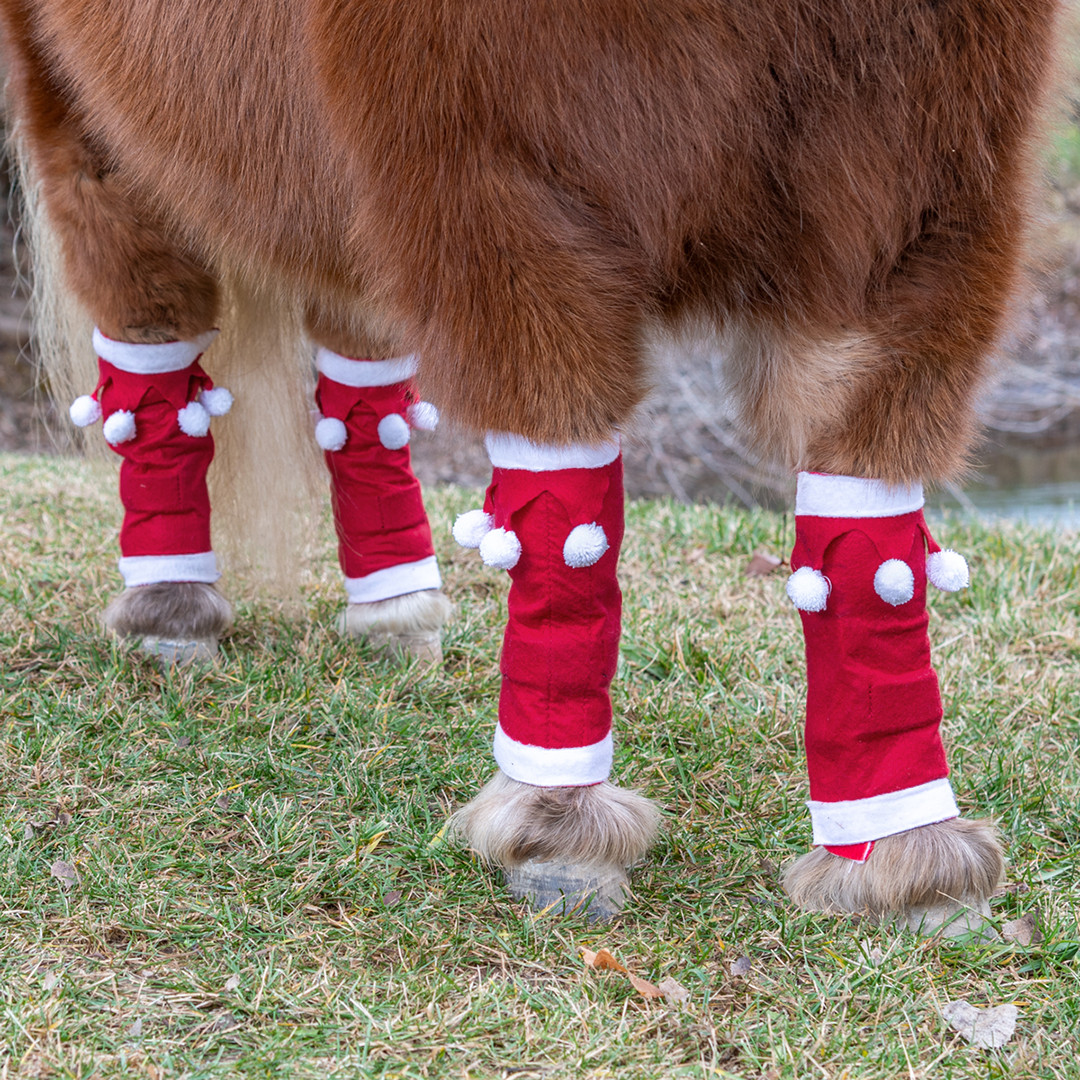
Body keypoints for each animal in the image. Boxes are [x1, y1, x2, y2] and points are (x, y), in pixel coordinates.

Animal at [0, 0, 1060, 926]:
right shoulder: (499, 190)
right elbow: (566, 524)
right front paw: (560, 828)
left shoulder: (919, 202)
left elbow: (871, 551)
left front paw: (905, 856)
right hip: (95, 125)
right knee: (150, 346)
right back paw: (169, 608)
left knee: (360, 384)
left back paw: (394, 607)